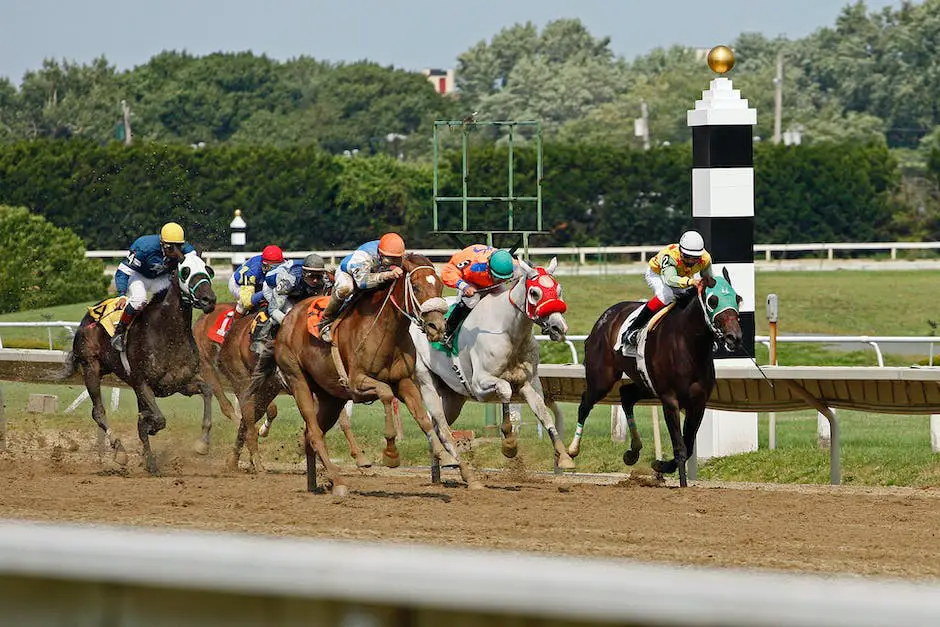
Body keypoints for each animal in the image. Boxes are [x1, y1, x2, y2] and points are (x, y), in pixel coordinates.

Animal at [63, 253, 218, 474]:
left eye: (208, 270)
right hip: (90, 367)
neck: (167, 333)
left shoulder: (181, 383)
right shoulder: (142, 383)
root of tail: (89, 316)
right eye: (185, 271)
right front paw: (150, 427)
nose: (209, 299)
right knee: (98, 412)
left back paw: (149, 461)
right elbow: (158, 419)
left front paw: (202, 444)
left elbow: (207, 391)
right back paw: (120, 452)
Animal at [235, 253, 478, 498]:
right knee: (314, 433)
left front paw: (445, 456)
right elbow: (386, 394)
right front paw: (391, 453)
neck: (384, 331)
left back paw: (315, 483)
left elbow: (423, 418)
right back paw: (338, 481)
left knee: (309, 435)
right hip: (298, 382)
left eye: (438, 286)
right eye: (416, 287)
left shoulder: (404, 382)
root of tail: (285, 321)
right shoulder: (356, 383)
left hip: (330, 397)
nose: (437, 327)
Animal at [410, 256, 576, 472]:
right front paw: (509, 443)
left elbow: (544, 414)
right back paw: (452, 461)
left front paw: (564, 456)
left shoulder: (528, 383)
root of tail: (417, 320)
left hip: (454, 397)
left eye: (559, 290)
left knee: (439, 427)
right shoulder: (479, 384)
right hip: (427, 384)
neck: (509, 331)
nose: (558, 327)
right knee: (441, 426)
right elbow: (505, 389)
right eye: (534, 292)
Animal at [564, 268, 740, 488]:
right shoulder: (670, 399)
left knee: (626, 395)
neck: (688, 345)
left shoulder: (698, 402)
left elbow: (689, 445)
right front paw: (682, 484)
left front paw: (661, 465)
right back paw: (571, 451)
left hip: (645, 383)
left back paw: (633, 451)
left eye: (738, 298)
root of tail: (607, 315)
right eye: (713, 300)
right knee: (585, 403)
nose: (734, 337)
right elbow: (680, 447)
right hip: (601, 379)